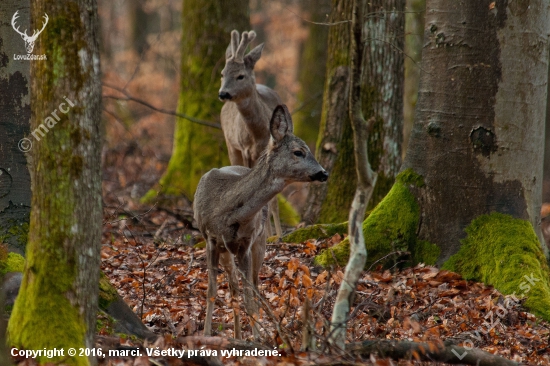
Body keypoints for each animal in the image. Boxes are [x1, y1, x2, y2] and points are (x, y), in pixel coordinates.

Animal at [196, 104, 330, 338]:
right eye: (298, 151)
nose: (324, 173)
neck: (224, 210)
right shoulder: (210, 239)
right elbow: (212, 291)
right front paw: (205, 335)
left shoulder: (246, 243)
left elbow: (250, 294)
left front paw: (256, 337)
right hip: (225, 249)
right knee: (233, 286)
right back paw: (237, 334)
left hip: (260, 242)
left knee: (254, 285)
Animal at [218, 30, 284, 239]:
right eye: (222, 74)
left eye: (240, 76)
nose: (223, 93)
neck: (258, 134)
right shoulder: (245, 150)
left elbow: (273, 199)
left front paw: (278, 235)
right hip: (231, 145)